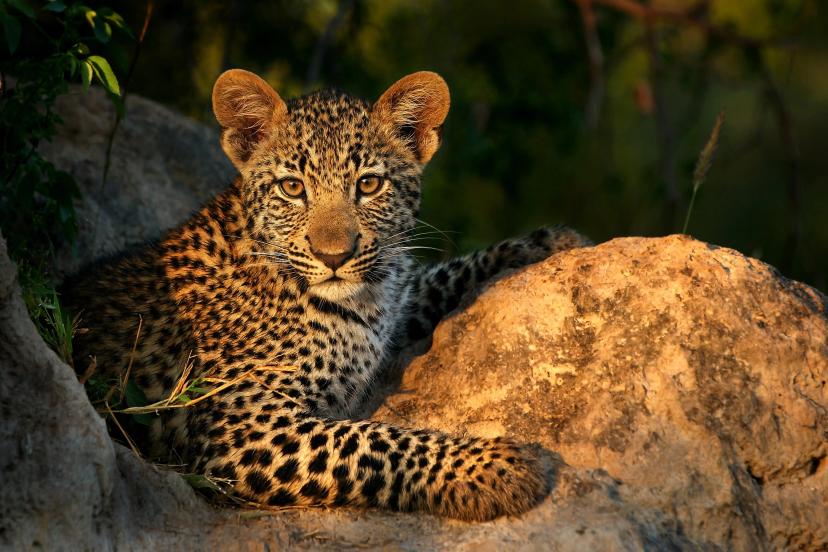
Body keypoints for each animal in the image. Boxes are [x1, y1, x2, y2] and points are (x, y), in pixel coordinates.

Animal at [62, 69, 589, 521]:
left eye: (369, 184)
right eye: (293, 187)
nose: (333, 255)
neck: (361, 302)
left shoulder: (394, 299)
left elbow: (441, 275)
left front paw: (547, 243)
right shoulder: (244, 429)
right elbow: (371, 441)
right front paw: (492, 466)